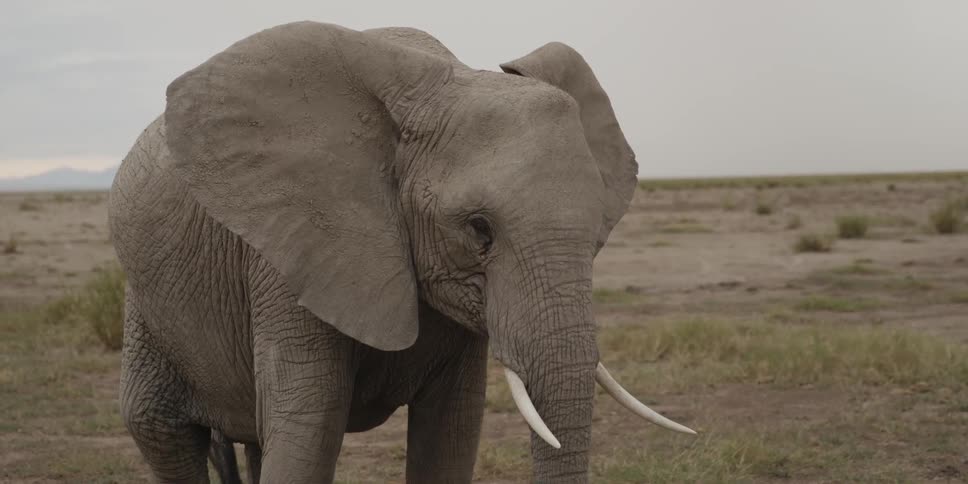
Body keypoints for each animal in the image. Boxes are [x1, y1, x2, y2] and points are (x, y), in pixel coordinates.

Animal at [109, 21, 695, 484]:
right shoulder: (291, 255)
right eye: (479, 229)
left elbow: (450, 434)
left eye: (598, 233)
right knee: (162, 434)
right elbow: (309, 431)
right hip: (147, 307)